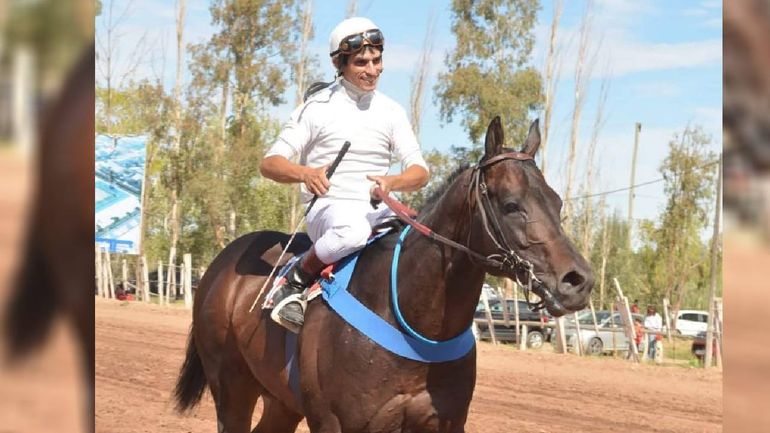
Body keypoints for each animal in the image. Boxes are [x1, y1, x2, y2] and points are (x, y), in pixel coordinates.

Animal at [176, 116, 592, 430]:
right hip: (232, 387)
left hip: (281, 400)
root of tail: (224, 261)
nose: (578, 281)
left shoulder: (444, 422)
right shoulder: (337, 423)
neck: (407, 317)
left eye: (556, 202)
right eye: (511, 204)